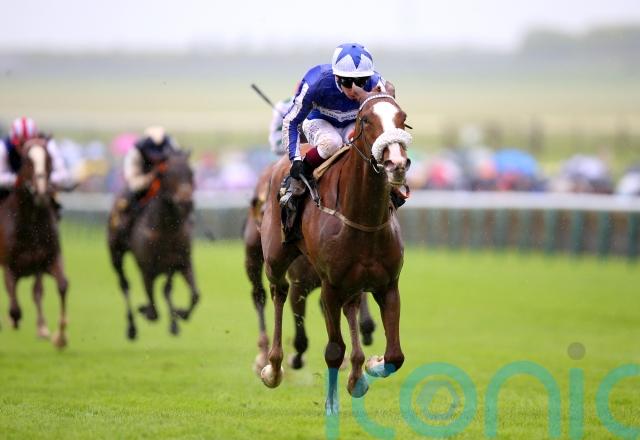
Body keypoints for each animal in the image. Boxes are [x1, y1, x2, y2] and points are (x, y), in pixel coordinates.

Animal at [0, 138, 69, 348]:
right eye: (26, 160)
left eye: (49, 159)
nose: (41, 191)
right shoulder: (9, 265)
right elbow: (15, 307)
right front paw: (13, 320)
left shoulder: (46, 259)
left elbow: (62, 285)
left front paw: (60, 337)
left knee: (37, 291)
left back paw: (42, 327)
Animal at [107, 150, 200, 339]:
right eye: (169, 174)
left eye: (191, 173)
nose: (186, 202)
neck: (166, 229)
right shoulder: (147, 268)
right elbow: (153, 308)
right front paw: (147, 310)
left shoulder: (181, 262)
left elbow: (192, 294)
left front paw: (180, 315)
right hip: (116, 254)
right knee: (124, 284)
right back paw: (132, 327)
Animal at [244, 164, 376, 375]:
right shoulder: (299, 284)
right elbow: (300, 336)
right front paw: (295, 359)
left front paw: (366, 330)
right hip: (254, 256)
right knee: (259, 295)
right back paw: (263, 355)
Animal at [259, 90, 411, 414]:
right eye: (366, 120)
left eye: (402, 118)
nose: (396, 162)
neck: (364, 219)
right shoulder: (330, 285)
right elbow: (333, 349)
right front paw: (331, 403)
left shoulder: (388, 285)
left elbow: (395, 355)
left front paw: (372, 364)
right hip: (276, 259)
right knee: (279, 292)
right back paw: (273, 368)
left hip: (353, 284)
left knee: (351, 307)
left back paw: (356, 375)